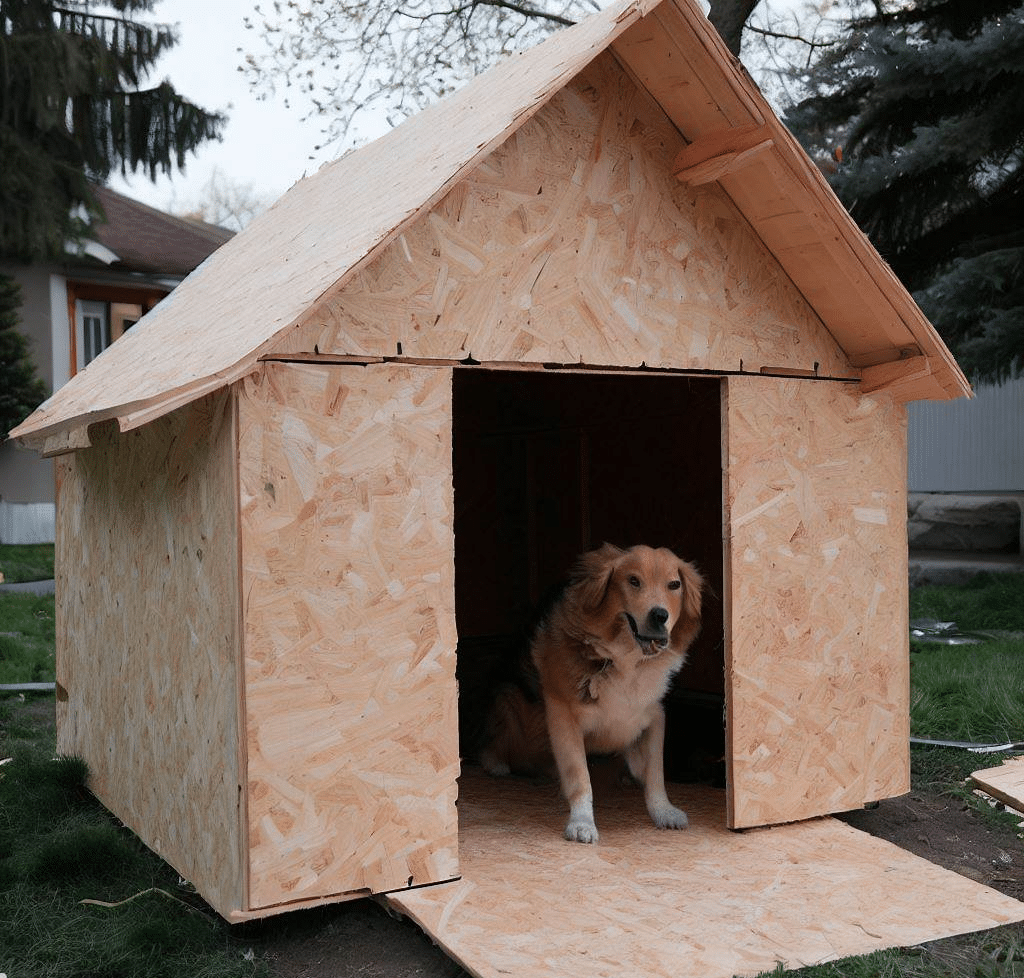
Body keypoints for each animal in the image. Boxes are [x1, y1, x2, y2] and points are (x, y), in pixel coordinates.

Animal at [481, 540, 704, 843]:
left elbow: (655, 773)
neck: (628, 659)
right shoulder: (563, 716)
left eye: (674, 585)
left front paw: (663, 811)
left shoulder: (654, 715)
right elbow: (579, 777)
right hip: (510, 701)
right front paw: (582, 822)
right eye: (633, 581)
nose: (660, 615)